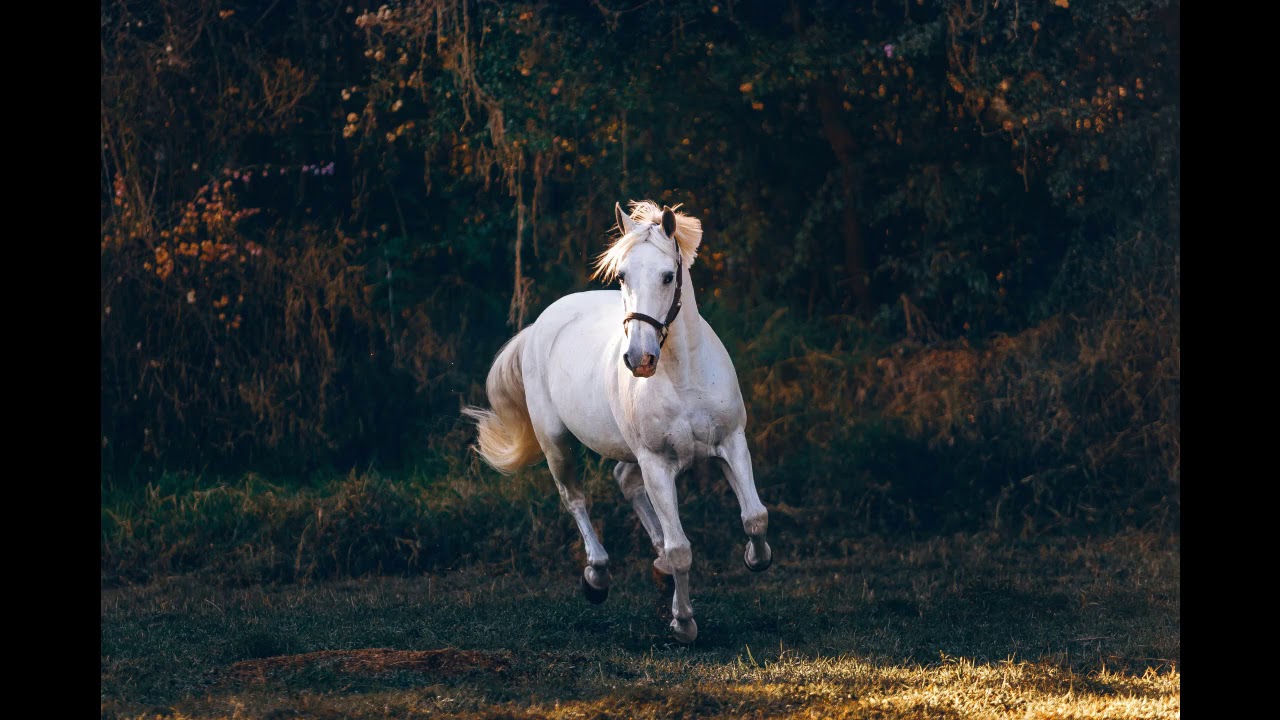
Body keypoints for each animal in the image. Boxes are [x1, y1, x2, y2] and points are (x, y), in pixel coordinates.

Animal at [463, 200, 772, 643]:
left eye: (668, 276)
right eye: (622, 275)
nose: (639, 359)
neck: (684, 376)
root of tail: (540, 324)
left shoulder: (731, 443)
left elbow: (755, 517)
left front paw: (752, 557)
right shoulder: (656, 463)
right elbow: (681, 549)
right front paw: (683, 623)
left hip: (629, 451)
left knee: (624, 480)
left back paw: (656, 570)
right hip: (556, 442)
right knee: (574, 498)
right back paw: (597, 576)